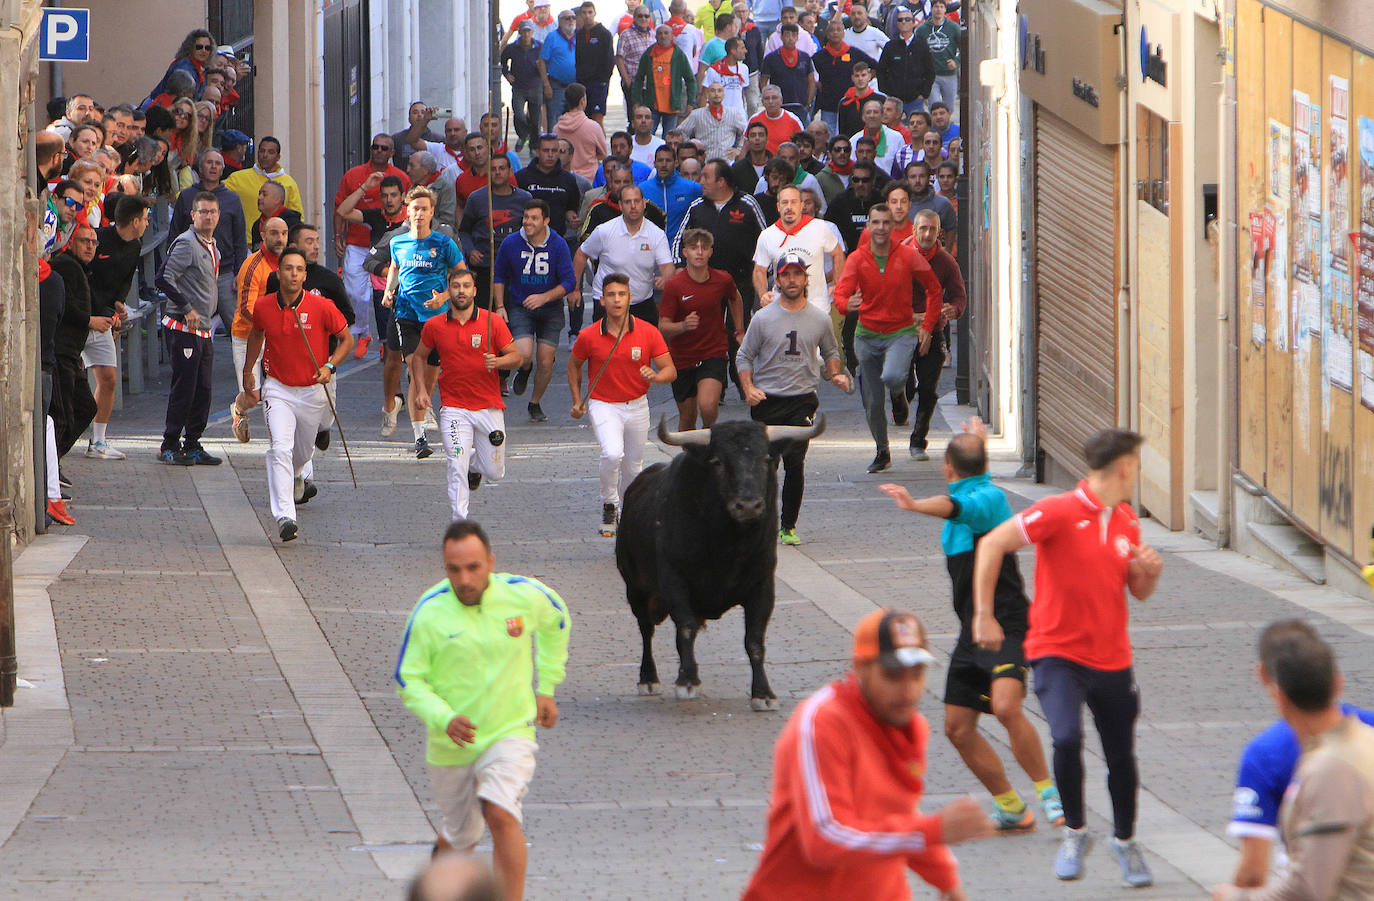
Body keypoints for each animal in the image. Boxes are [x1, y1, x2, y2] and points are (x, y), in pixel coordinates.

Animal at [615, 414, 824, 708]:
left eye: (766, 458)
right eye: (717, 461)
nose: (748, 505)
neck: (726, 545)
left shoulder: (762, 586)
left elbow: (754, 640)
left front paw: (763, 693)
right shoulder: (675, 581)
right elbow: (686, 628)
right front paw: (688, 681)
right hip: (636, 588)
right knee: (646, 629)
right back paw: (648, 679)